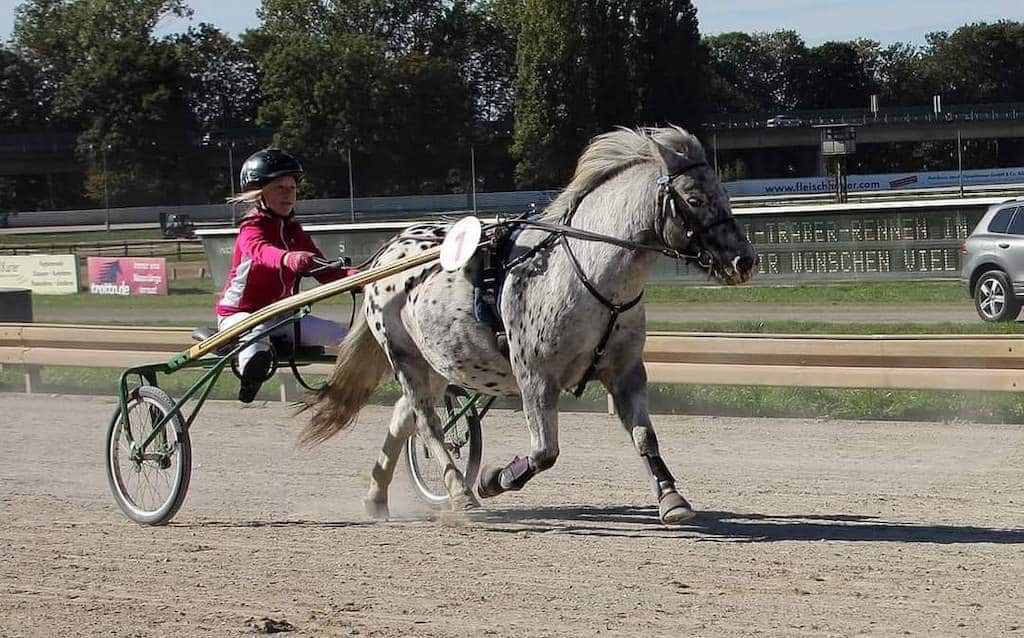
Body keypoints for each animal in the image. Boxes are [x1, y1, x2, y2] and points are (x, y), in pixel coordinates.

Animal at [299, 124, 757, 524]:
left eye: (723, 193)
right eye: (695, 198)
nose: (745, 260)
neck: (587, 274)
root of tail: (388, 249)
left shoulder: (625, 371)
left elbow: (645, 436)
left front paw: (672, 498)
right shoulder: (535, 376)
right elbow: (544, 452)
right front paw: (492, 479)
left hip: (436, 359)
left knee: (403, 416)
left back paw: (377, 497)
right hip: (402, 353)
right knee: (427, 422)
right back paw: (461, 492)